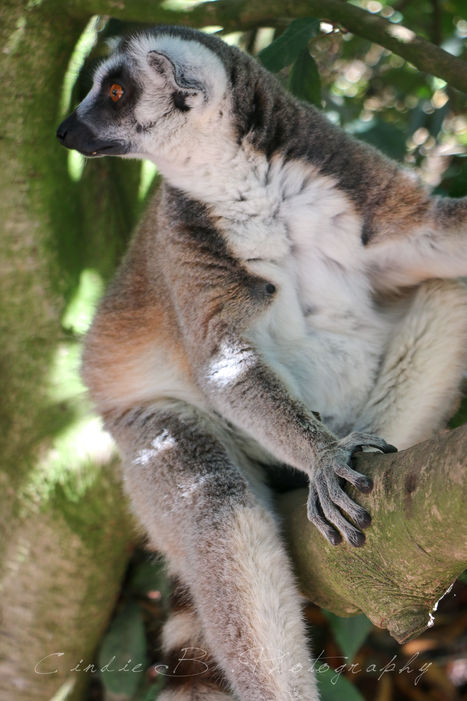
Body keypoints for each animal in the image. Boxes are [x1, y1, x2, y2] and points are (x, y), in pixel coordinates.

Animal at [56, 25, 467, 701]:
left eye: (114, 92)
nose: (65, 131)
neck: (240, 175)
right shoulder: (184, 240)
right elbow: (224, 364)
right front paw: (321, 456)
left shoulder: (345, 174)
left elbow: (441, 241)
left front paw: (331, 456)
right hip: (142, 426)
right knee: (217, 509)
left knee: (447, 291)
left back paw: (360, 449)